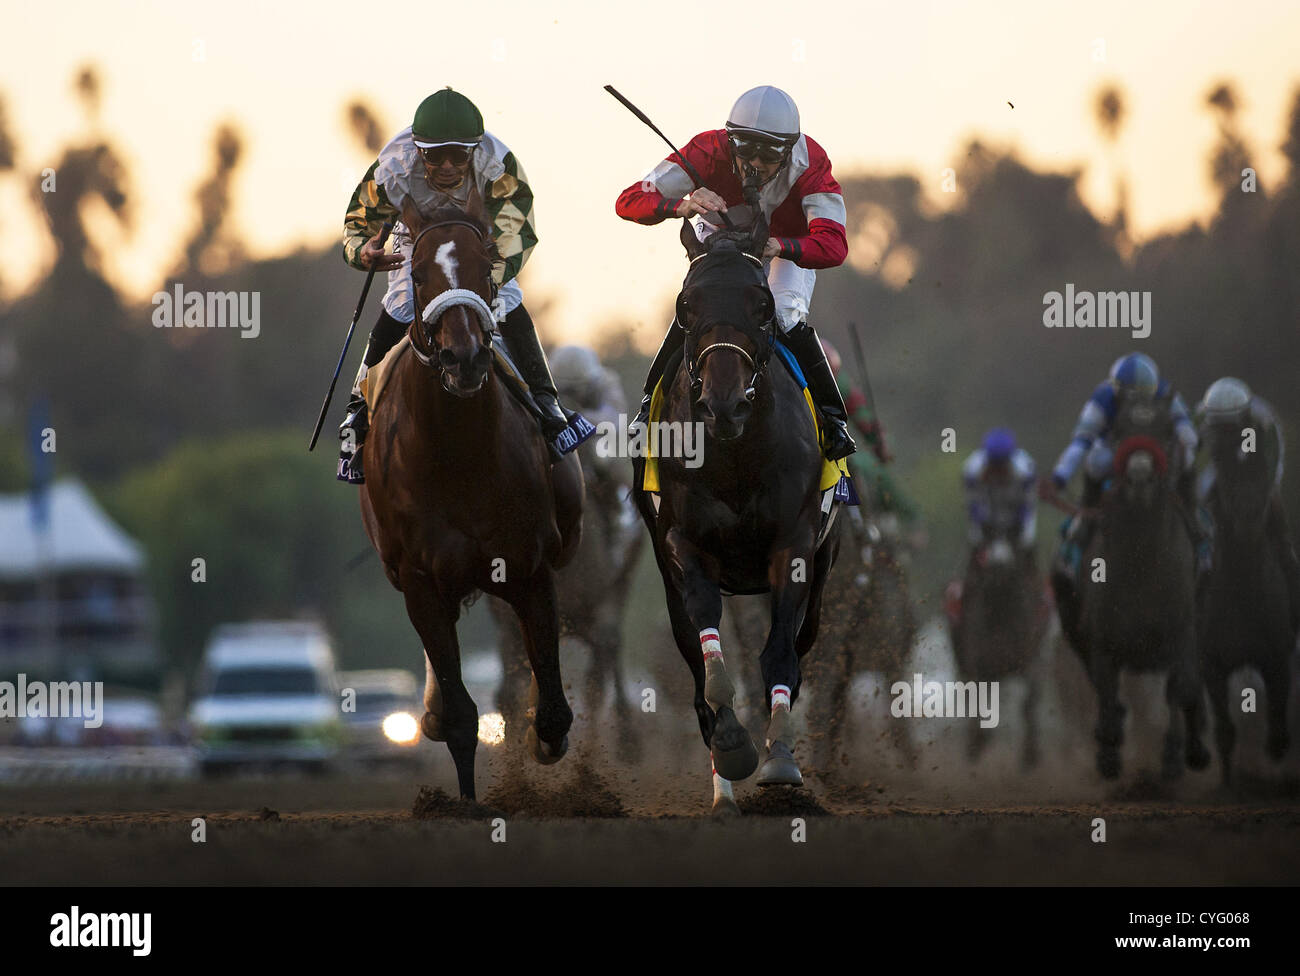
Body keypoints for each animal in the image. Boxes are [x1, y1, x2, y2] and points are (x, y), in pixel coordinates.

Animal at [356, 194, 579, 795]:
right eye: (419, 273)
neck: (457, 456)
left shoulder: (529, 568)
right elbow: (459, 716)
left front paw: (543, 741)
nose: (465, 358)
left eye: (485, 270)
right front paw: (465, 799)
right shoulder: (419, 581)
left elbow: (552, 705)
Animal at [631, 211, 842, 816]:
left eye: (763, 306)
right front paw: (731, 743)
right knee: (692, 658)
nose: (724, 404)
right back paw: (723, 792)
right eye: (686, 305)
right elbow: (708, 649)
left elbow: (780, 655)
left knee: (798, 644)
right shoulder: (682, 544)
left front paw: (781, 758)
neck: (735, 456)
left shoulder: (796, 546)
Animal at [1050, 392, 1211, 784]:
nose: (1139, 475)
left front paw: (1182, 753)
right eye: (1120, 429)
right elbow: (1107, 690)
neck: (1141, 559)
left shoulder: (1182, 630)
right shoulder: (1102, 638)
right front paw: (1108, 754)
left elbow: (1183, 686)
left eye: (1165, 430)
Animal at [1201, 423, 1294, 784]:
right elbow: (1225, 731)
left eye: (1261, 470)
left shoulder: (1277, 658)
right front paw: (1227, 783)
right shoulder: (1211, 663)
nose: (1248, 516)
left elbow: (1279, 724)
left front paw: (1275, 755)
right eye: (1226, 472)